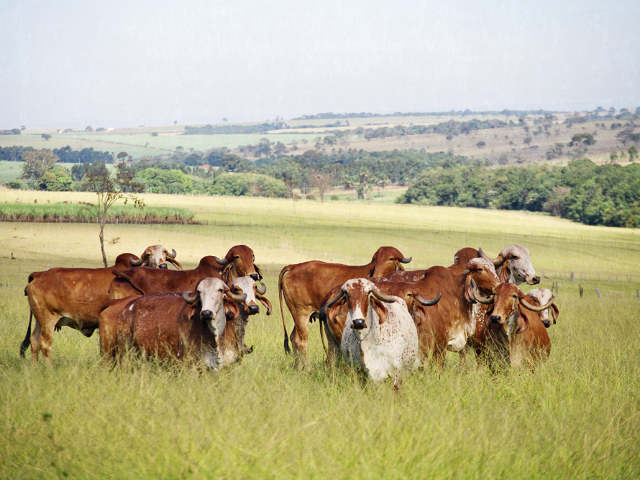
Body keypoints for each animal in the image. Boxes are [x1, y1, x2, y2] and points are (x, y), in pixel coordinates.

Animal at [20, 246, 178, 362]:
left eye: (165, 252)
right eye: (149, 254)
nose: (163, 265)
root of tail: (38, 274)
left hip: (39, 320)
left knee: (34, 341)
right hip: (48, 319)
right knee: (45, 344)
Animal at [276, 246, 410, 370]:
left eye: (390, 258)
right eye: (375, 260)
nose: (375, 274)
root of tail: (292, 267)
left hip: (299, 317)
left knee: (293, 338)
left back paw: (299, 368)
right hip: (301, 315)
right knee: (300, 341)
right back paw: (308, 368)